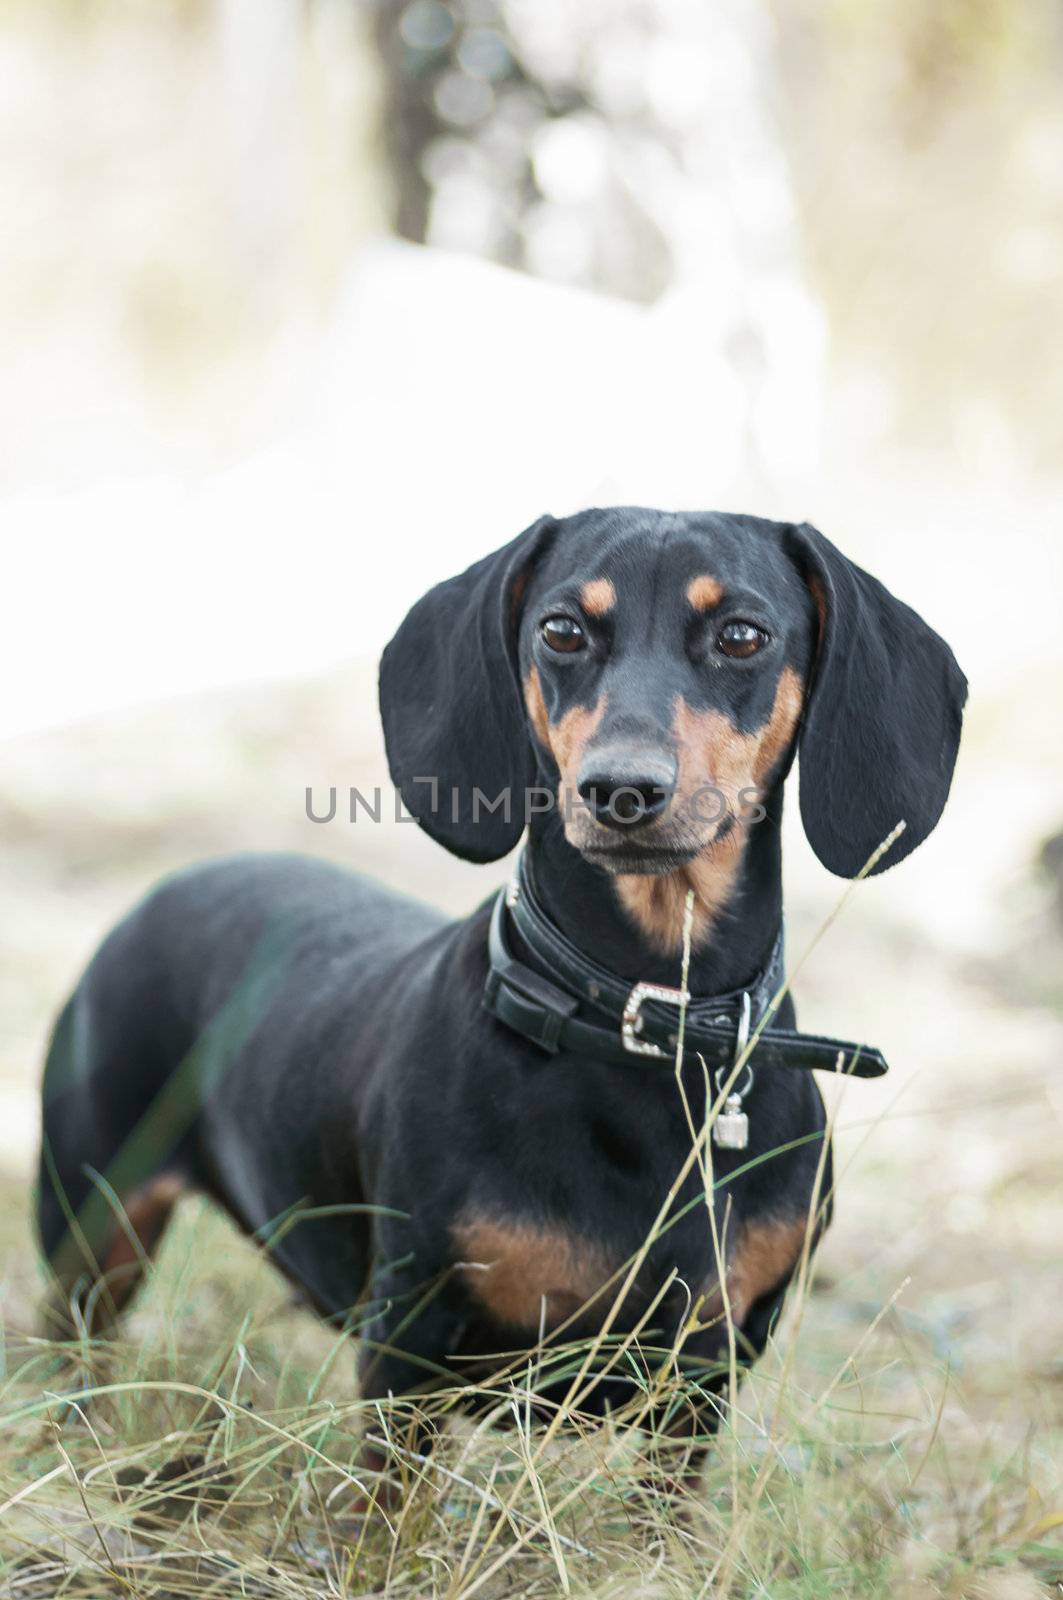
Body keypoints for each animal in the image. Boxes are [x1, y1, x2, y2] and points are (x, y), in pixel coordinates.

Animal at [37, 508, 966, 1497]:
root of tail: (164, 890)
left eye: (741, 636)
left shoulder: (707, 1368)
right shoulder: (409, 1344)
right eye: (560, 630)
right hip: (91, 1224)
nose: (621, 790)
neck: (641, 1032)